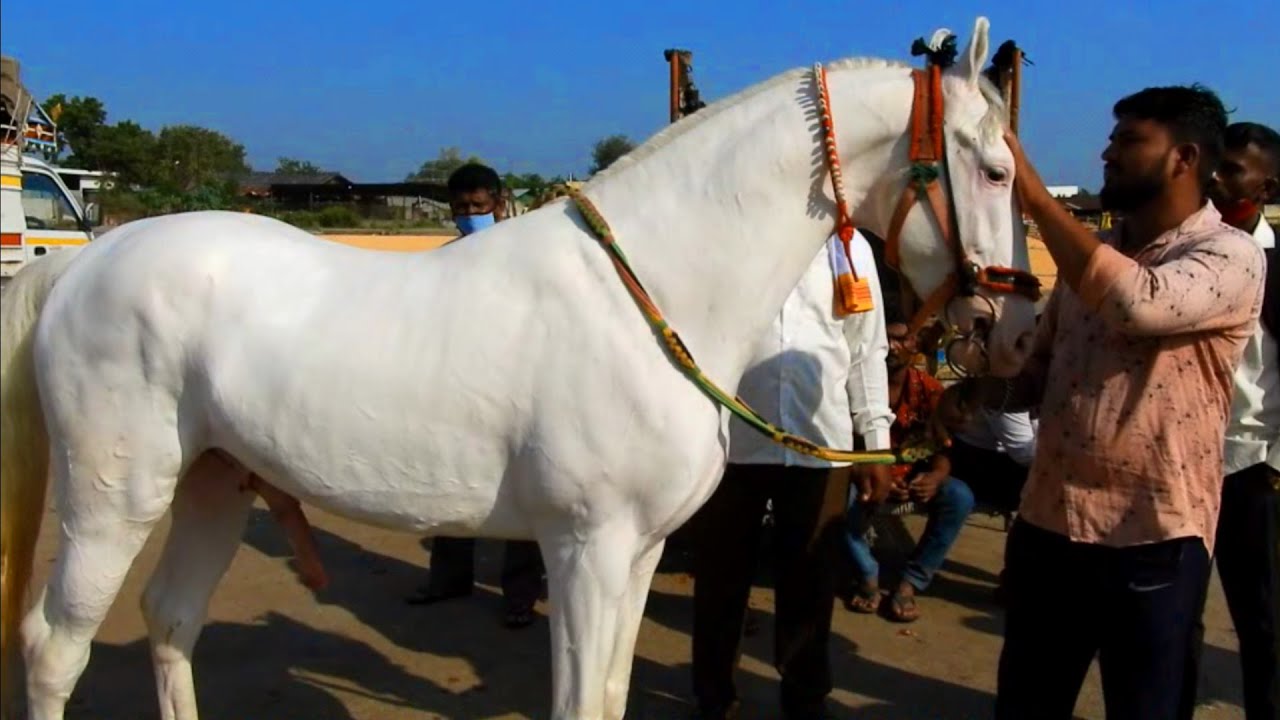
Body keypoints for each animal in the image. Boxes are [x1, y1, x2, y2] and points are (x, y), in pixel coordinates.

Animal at [1, 16, 1036, 719]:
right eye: (992, 170)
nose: (1019, 329)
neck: (652, 292)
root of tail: (82, 262)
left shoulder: (638, 552)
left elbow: (610, 695)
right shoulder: (587, 548)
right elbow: (580, 703)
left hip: (216, 481)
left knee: (171, 619)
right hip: (116, 499)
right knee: (53, 648)